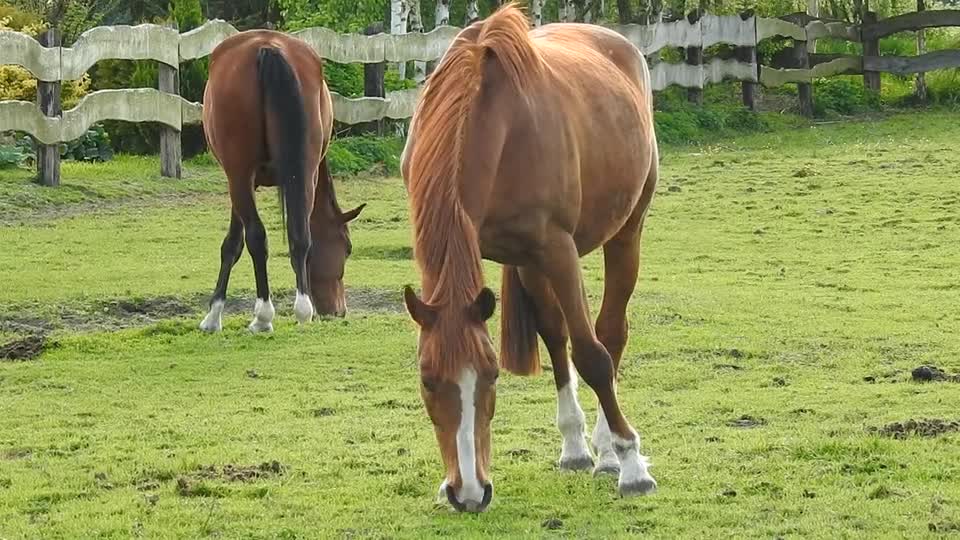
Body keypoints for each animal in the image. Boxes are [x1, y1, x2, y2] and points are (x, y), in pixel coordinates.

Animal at [201, 31, 366, 334]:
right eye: (348, 248)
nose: (339, 311)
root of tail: (268, 47)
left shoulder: (242, 181)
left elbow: (233, 244)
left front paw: (214, 315)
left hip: (239, 176)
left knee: (257, 238)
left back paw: (263, 316)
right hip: (301, 173)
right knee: (299, 235)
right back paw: (302, 309)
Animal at [400, 4, 660, 510]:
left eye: (491, 376)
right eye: (426, 380)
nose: (469, 492)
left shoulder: (557, 249)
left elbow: (592, 355)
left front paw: (632, 465)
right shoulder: (522, 254)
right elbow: (557, 338)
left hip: (625, 232)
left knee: (609, 334)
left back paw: (609, 452)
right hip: (529, 262)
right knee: (556, 334)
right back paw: (577, 446)